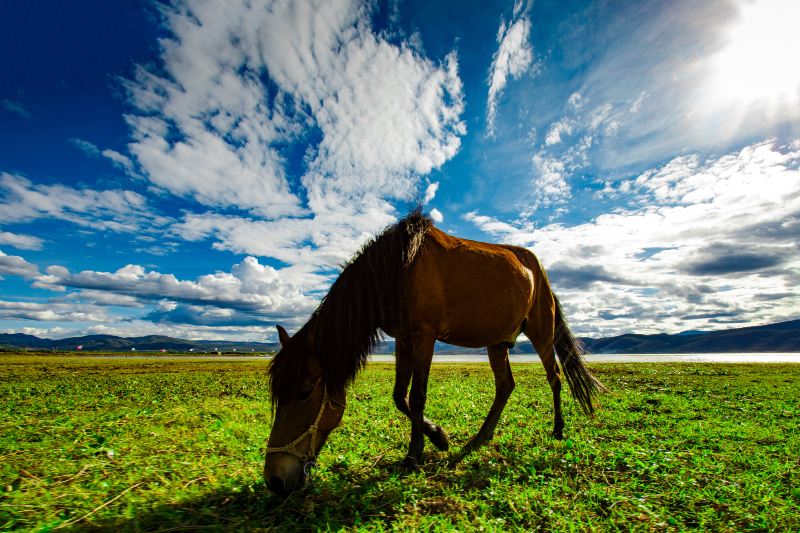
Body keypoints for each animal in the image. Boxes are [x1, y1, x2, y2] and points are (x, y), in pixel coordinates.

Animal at [266, 209, 604, 494]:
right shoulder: (403, 339)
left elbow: (417, 396)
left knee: (555, 378)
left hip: (541, 333)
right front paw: (439, 437)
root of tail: (539, 271)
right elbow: (399, 397)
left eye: (305, 392)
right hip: (497, 343)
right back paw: (480, 438)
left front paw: (414, 455)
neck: (397, 271)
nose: (275, 481)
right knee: (505, 386)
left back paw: (558, 429)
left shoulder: (424, 337)